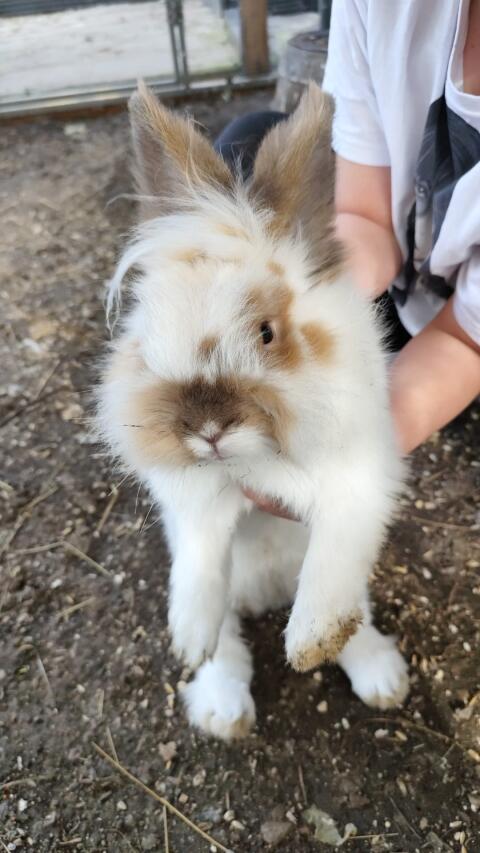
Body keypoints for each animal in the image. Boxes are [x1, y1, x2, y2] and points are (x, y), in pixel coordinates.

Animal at [96, 82, 409, 740]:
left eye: (267, 332)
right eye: (151, 332)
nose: (207, 429)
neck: (254, 462)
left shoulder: (361, 480)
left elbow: (334, 555)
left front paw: (309, 642)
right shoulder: (194, 499)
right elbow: (199, 557)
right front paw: (187, 636)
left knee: (355, 608)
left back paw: (379, 675)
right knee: (229, 640)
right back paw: (220, 703)